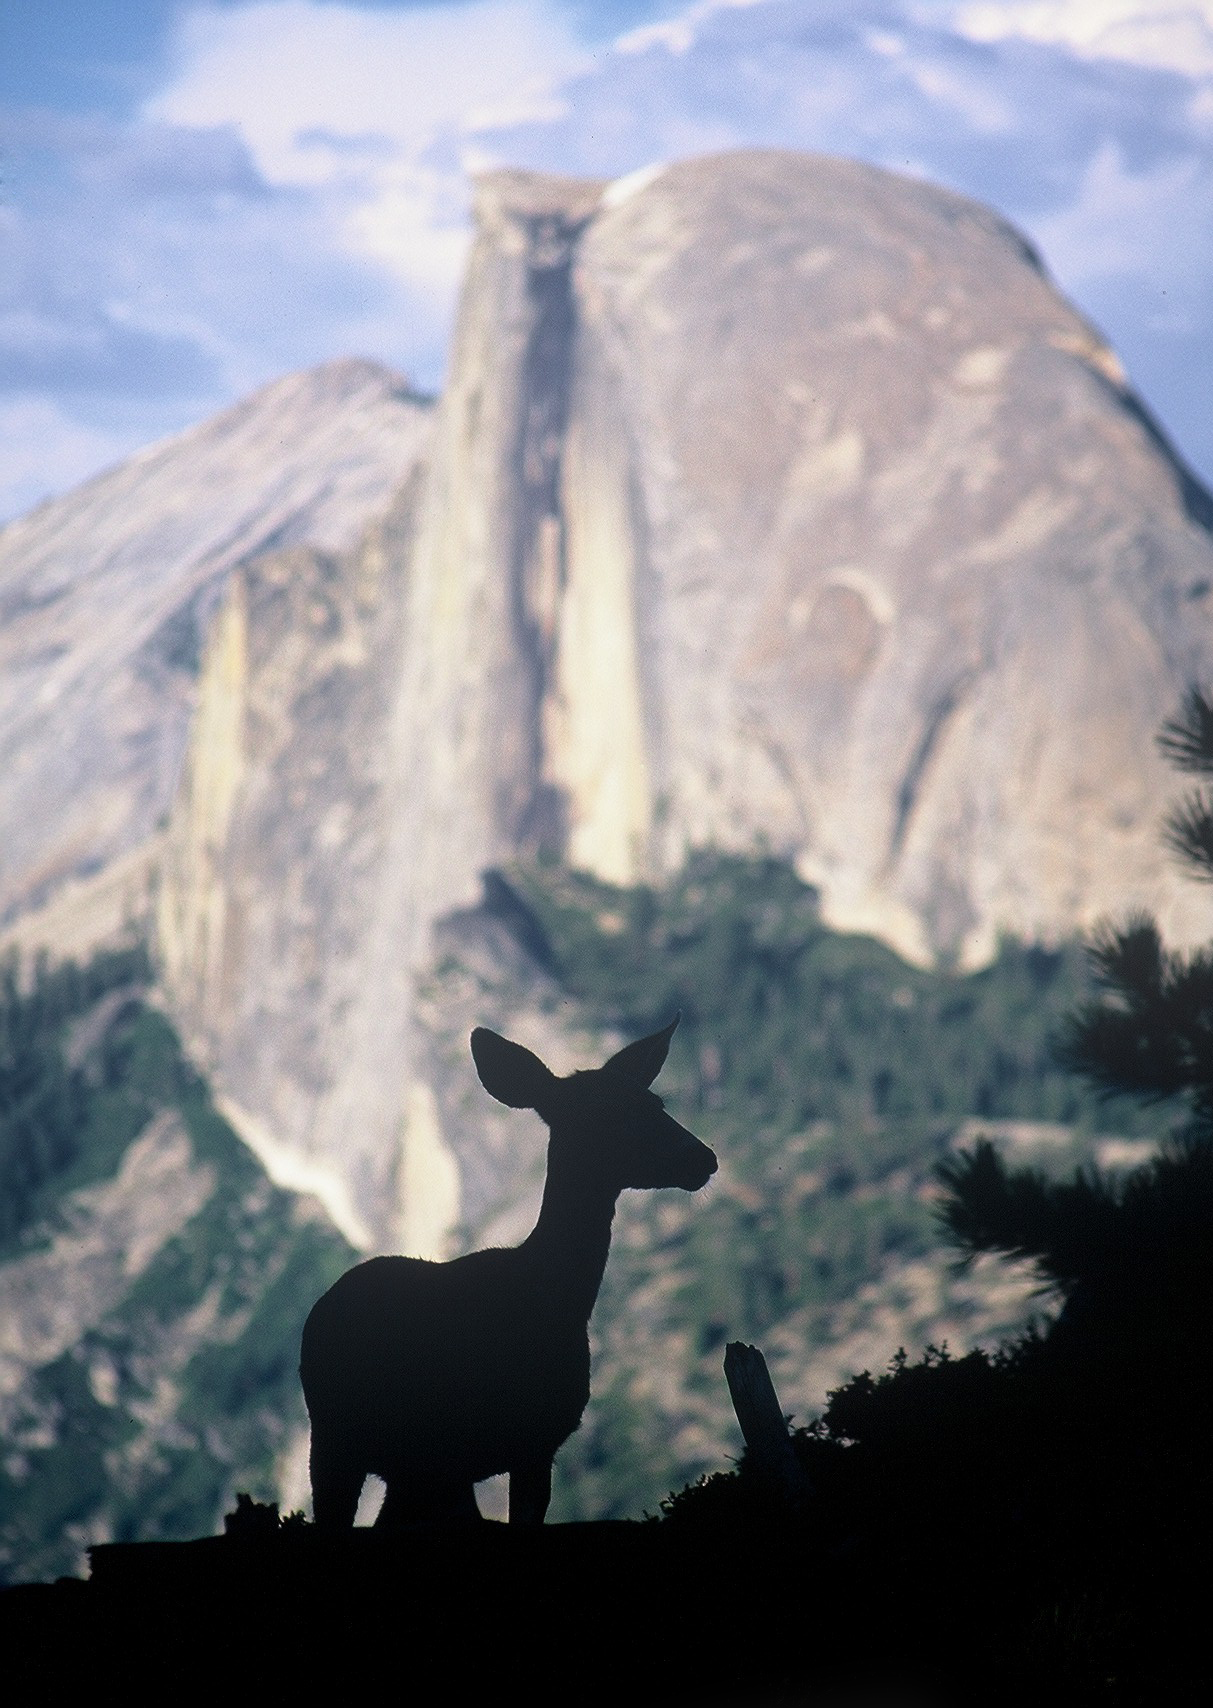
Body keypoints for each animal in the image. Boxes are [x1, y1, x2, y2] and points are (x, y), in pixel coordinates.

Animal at [299, 1015, 716, 1527]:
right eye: (605, 1113)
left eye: (655, 1103)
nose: (703, 1158)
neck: (549, 1300)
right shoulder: (480, 1450)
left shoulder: (529, 1448)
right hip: (343, 1441)